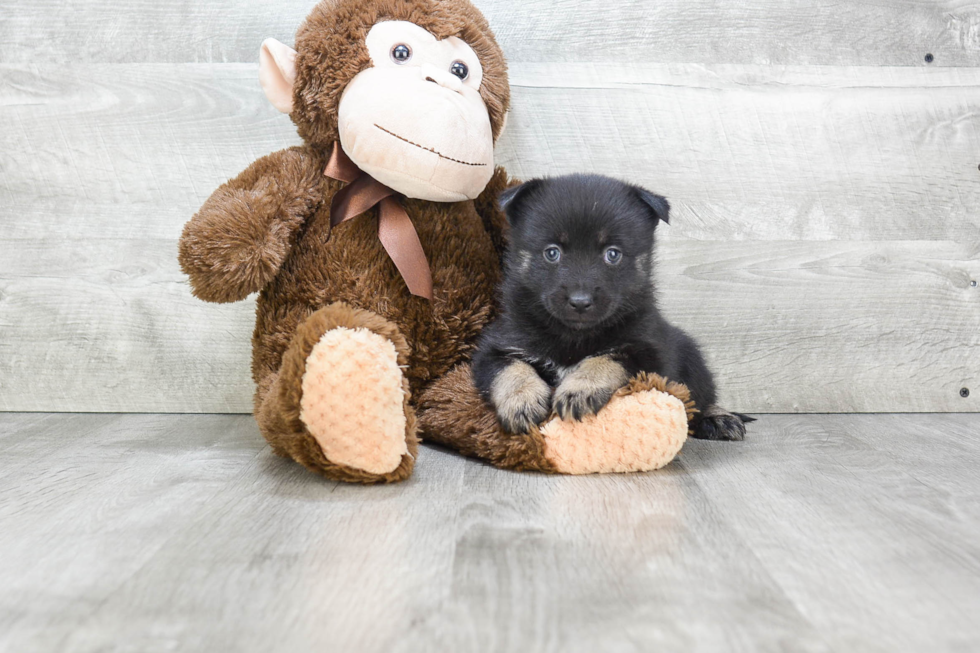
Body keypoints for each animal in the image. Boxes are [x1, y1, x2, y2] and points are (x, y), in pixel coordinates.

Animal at [470, 173, 748, 440]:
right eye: (552, 252)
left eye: (612, 254)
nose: (580, 301)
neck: (573, 335)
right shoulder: (495, 347)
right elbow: (510, 369)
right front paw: (522, 400)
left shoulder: (648, 353)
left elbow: (606, 358)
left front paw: (580, 388)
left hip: (691, 356)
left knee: (699, 396)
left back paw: (719, 417)